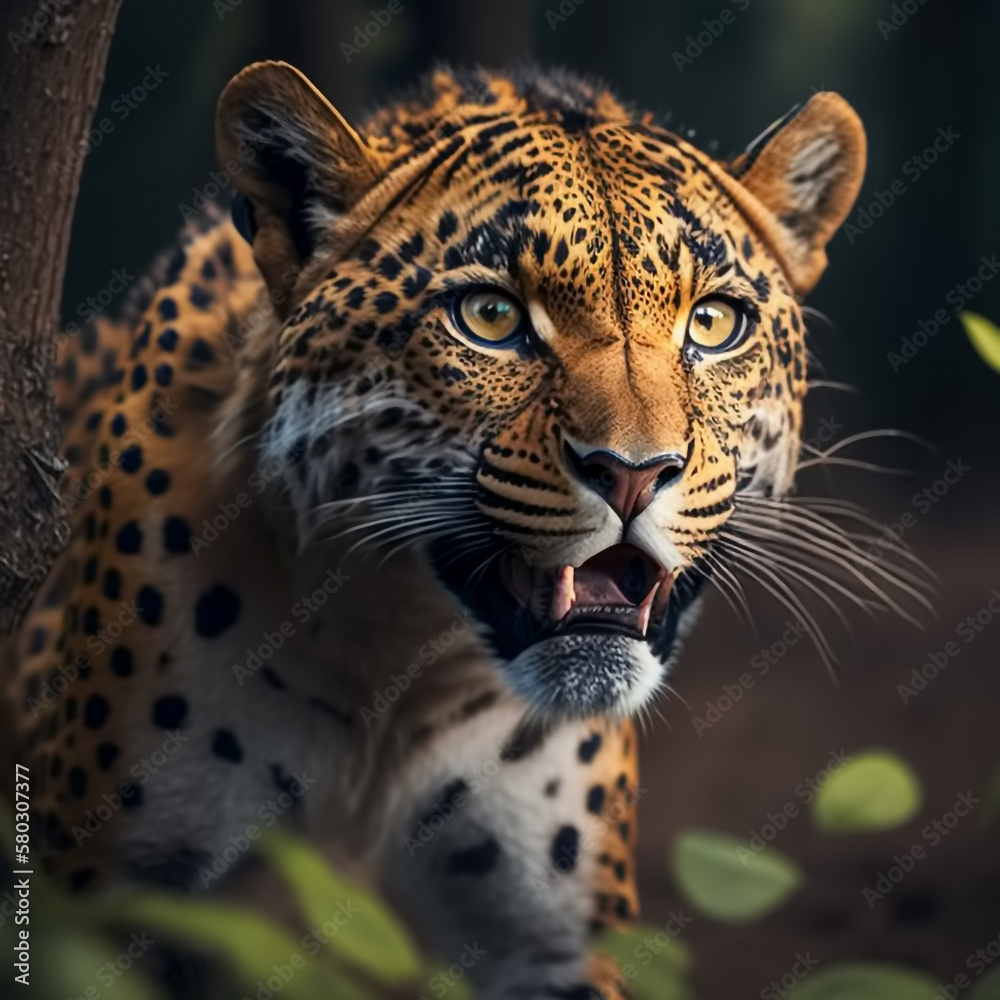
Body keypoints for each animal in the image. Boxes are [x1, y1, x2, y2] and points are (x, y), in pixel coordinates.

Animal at [9, 61, 884, 999]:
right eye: (491, 318)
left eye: (715, 324)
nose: (633, 472)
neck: (390, 664)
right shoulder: (115, 897)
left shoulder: (546, 941)